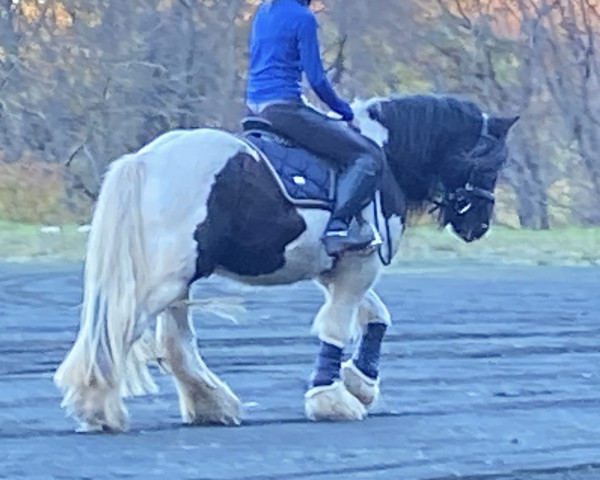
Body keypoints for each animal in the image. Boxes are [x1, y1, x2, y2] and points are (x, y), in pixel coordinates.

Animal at [54, 93, 516, 432]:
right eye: (490, 163)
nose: (478, 225)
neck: (385, 155)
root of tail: (143, 161)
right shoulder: (360, 266)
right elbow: (337, 327)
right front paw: (333, 399)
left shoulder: (340, 267)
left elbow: (376, 317)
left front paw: (360, 382)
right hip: (164, 281)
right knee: (116, 332)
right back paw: (98, 407)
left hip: (179, 281)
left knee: (174, 345)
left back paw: (211, 404)